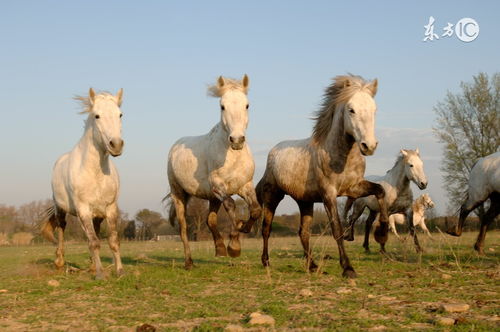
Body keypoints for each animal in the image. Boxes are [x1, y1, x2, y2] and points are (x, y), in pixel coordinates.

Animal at [43, 88, 125, 280]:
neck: (95, 172)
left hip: (98, 214)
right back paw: (59, 262)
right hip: (61, 209)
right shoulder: (83, 209)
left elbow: (113, 240)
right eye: (97, 116)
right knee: (62, 228)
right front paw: (100, 274)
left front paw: (119, 270)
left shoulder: (110, 208)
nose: (116, 145)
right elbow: (93, 242)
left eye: (120, 114)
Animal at [167, 75, 262, 270]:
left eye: (247, 105)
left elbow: (256, 210)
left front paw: (244, 228)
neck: (232, 156)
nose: (237, 140)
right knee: (183, 228)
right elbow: (232, 205)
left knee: (210, 220)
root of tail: (175, 146)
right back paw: (189, 262)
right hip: (179, 193)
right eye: (222, 106)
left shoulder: (245, 186)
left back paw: (219, 248)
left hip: (212, 198)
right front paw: (234, 246)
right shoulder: (219, 186)